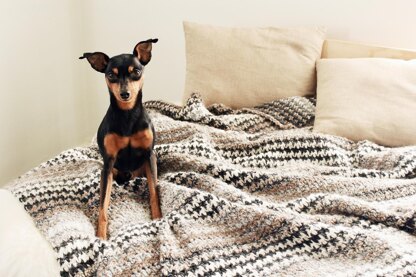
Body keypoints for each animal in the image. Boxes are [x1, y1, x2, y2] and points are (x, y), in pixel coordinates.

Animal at [79, 38, 162, 239]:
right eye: (111, 75)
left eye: (136, 72)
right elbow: (103, 206)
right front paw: (101, 236)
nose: (125, 94)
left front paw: (157, 219)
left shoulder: (149, 155)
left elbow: (154, 192)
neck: (127, 115)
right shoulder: (108, 164)